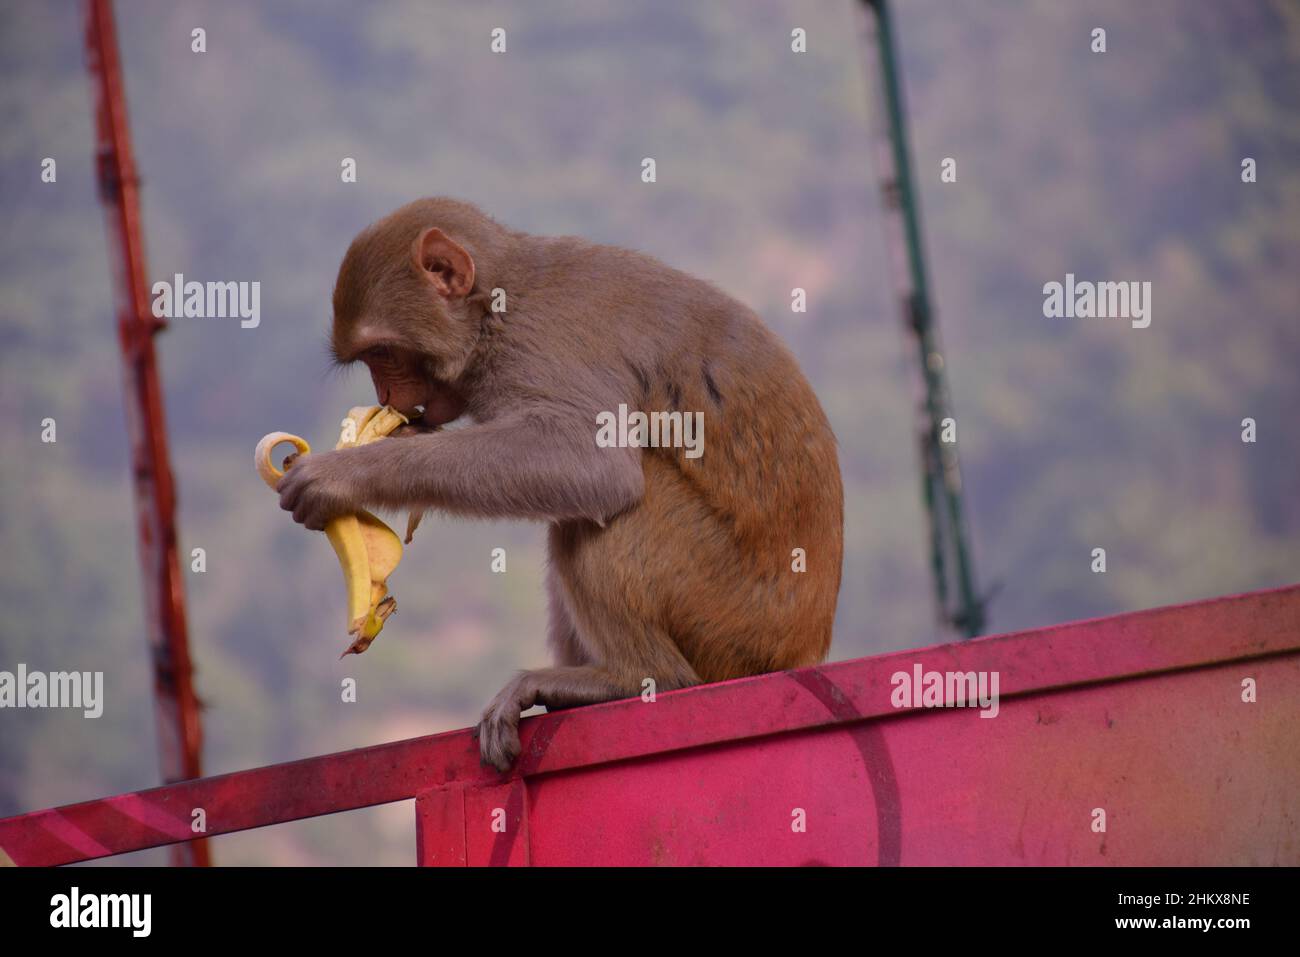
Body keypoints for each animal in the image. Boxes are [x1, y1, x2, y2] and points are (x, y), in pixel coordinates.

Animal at [277, 197, 844, 771]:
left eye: (384, 353)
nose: (386, 397)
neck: (492, 312)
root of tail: (800, 647)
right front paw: (406, 435)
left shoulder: (542, 346)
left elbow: (595, 465)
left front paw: (348, 473)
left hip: (728, 611)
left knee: (613, 511)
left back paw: (637, 679)